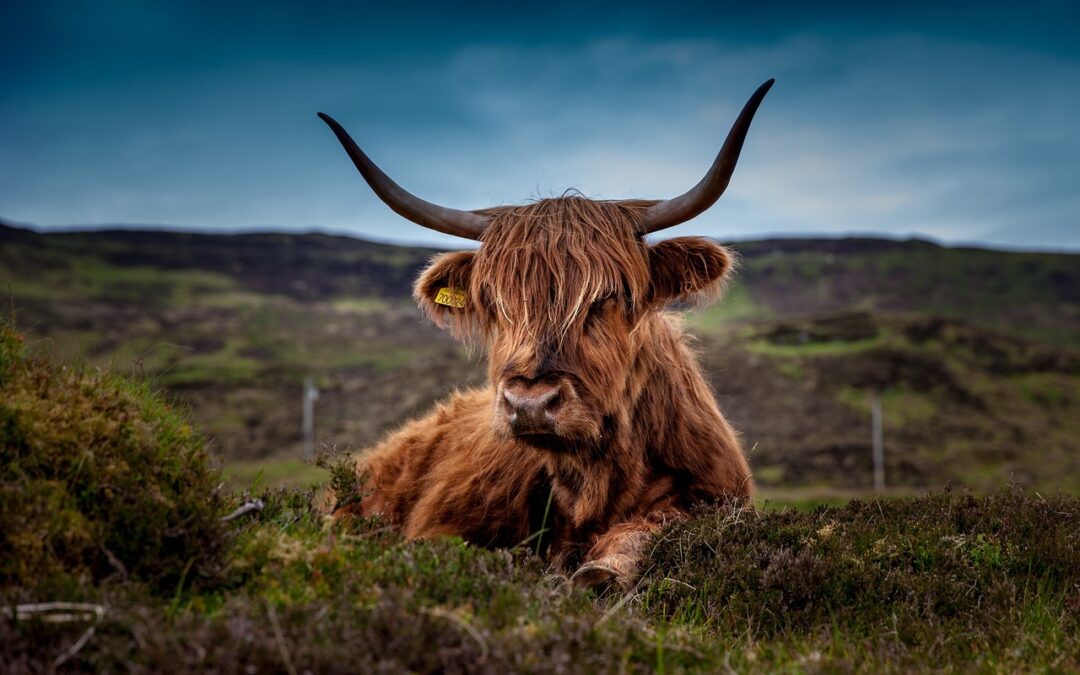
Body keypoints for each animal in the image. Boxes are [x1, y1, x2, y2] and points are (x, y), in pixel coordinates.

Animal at [315, 78, 773, 587]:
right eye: (495, 302)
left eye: (607, 297)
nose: (530, 403)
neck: (594, 482)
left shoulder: (714, 495)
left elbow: (651, 529)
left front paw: (602, 570)